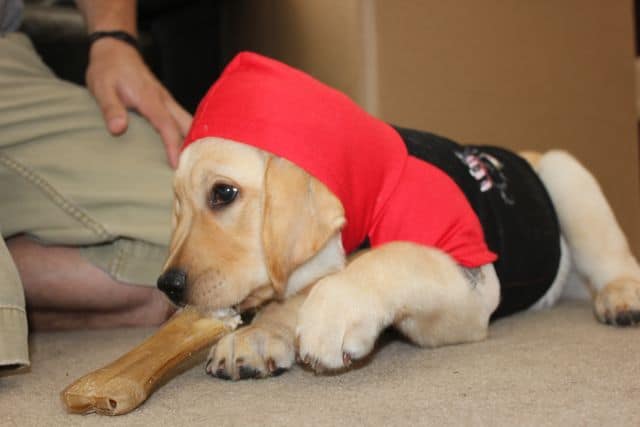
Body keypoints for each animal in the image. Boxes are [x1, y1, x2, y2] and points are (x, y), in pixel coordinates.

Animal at [156, 53, 640, 382]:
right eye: (176, 205)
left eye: (223, 193)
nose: (168, 286)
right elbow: (294, 294)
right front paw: (260, 334)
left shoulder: (473, 287)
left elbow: (396, 256)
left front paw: (334, 309)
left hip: (564, 172)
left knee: (616, 259)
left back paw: (622, 297)